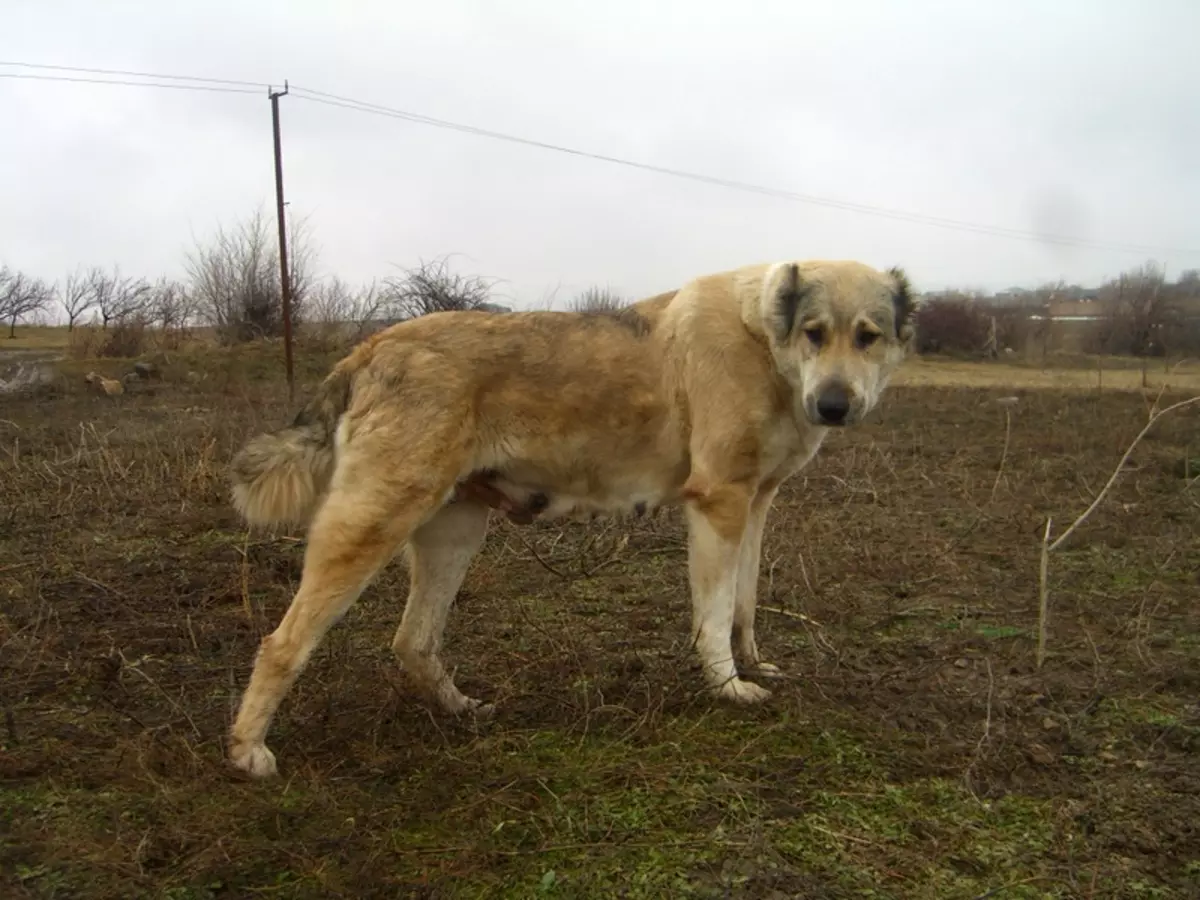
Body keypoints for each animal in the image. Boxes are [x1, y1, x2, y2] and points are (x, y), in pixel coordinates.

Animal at [226, 259, 916, 777]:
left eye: (868, 336)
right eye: (815, 332)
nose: (834, 406)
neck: (765, 340)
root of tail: (370, 347)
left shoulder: (756, 503)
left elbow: (744, 604)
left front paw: (753, 664)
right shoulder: (719, 504)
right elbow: (715, 617)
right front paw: (727, 687)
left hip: (454, 532)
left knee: (413, 640)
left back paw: (461, 709)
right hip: (372, 523)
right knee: (283, 643)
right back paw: (248, 751)